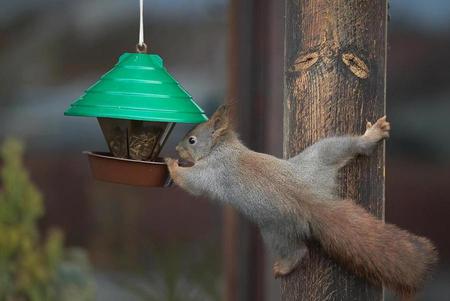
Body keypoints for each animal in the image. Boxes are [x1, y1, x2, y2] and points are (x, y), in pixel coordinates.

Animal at [164, 104, 436, 296]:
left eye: (192, 140)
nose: (177, 149)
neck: (222, 148)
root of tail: (311, 201)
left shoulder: (212, 172)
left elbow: (191, 182)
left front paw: (171, 165)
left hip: (276, 228)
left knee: (296, 250)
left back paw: (286, 265)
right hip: (319, 158)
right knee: (347, 146)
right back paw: (370, 136)